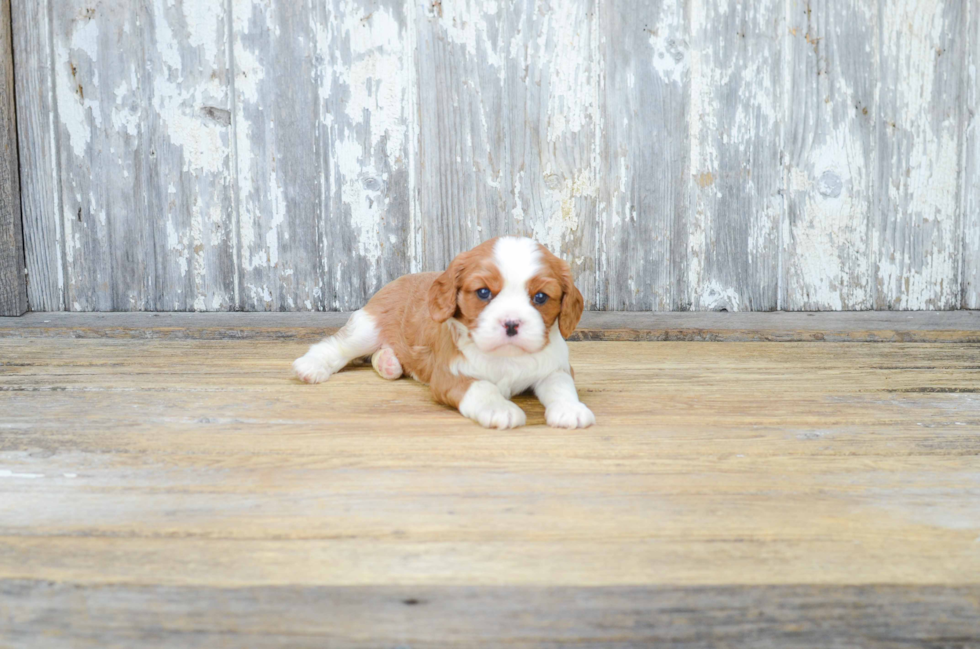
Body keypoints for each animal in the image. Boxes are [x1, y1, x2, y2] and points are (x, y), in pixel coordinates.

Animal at [290, 235, 592, 428]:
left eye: (540, 297)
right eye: (483, 293)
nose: (511, 323)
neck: (506, 357)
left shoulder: (555, 367)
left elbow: (561, 385)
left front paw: (570, 410)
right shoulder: (450, 376)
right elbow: (482, 387)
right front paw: (500, 409)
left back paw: (389, 362)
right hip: (368, 326)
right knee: (338, 345)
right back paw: (312, 366)